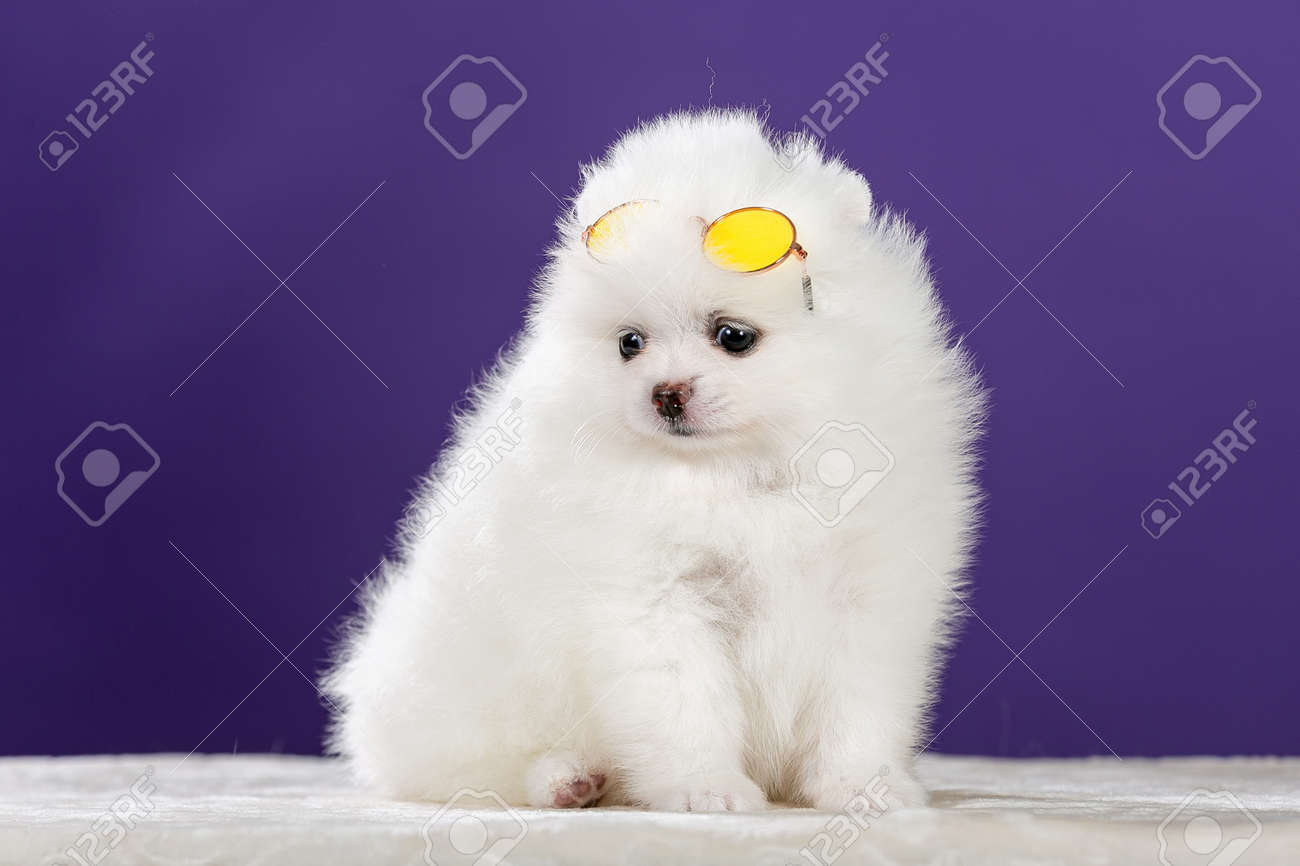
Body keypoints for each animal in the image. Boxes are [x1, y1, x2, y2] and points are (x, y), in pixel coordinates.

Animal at [323, 109, 984, 812]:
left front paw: (863, 788)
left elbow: (857, 707)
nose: (665, 393)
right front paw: (707, 789)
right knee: (470, 770)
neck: (742, 473)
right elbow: (683, 704)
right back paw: (566, 778)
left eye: (733, 337)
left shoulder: (868, 592)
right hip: (453, 685)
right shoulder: (651, 599)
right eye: (630, 344)